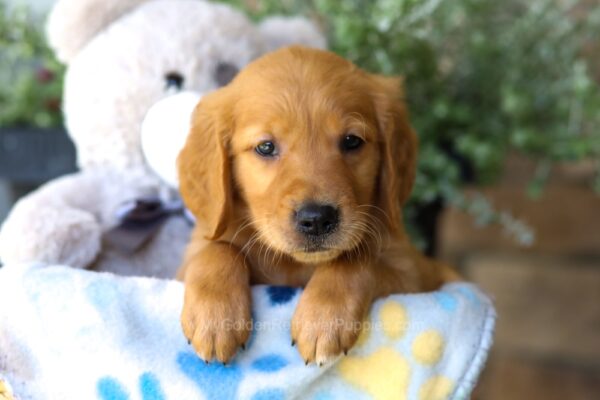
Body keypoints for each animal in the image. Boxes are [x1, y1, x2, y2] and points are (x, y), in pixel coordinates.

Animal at [176, 46, 458, 366]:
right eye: (265, 147)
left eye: (352, 141)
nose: (317, 219)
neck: (294, 264)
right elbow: (217, 249)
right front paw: (215, 319)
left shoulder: (414, 273)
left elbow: (355, 258)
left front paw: (323, 319)